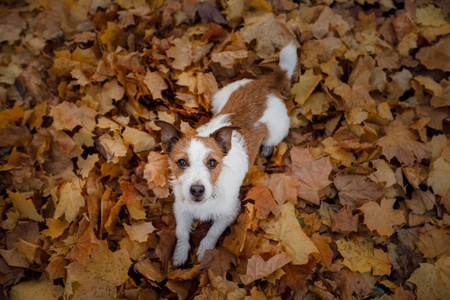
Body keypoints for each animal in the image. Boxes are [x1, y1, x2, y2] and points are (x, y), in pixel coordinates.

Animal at [156, 42, 298, 268]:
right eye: (182, 162)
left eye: (213, 163)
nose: (197, 190)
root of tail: (264, 84)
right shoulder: (181, 209)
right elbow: (181, 232)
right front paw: (179, 254)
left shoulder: (229, 213)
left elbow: (212, 233)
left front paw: (204, 251)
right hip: (219, 97)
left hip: (278, 129)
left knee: (272, 140)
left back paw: (267, 148)